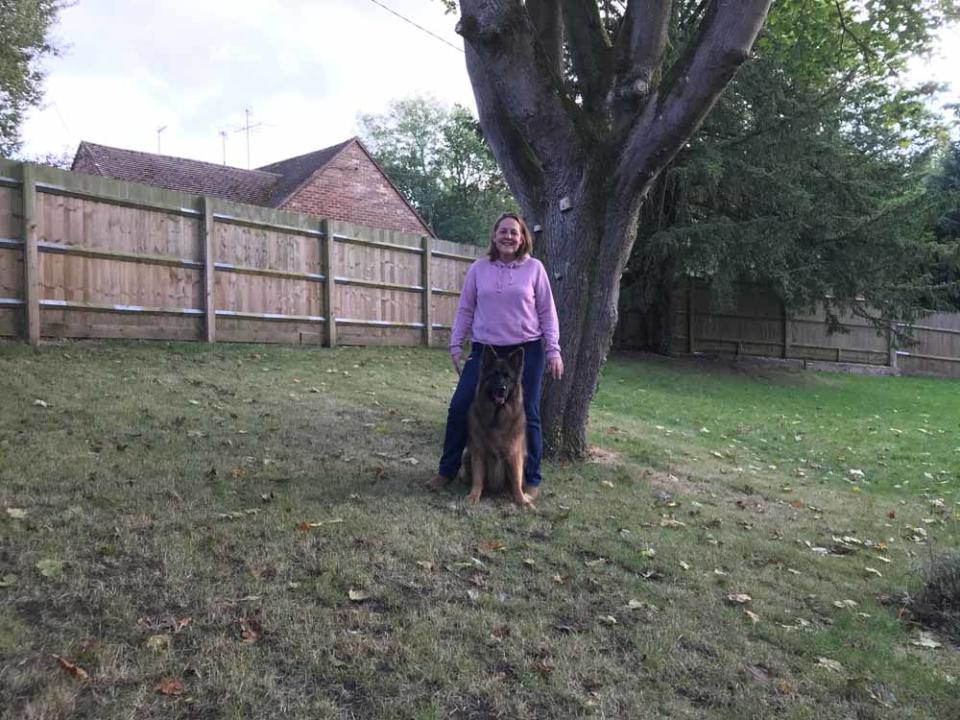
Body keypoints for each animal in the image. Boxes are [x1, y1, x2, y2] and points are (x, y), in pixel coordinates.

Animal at [464, 348, 532, 506]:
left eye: (508, 377)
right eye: (494, 375)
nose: (502, 389)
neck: (497, 418)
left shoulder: (515, 453)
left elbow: (516, 479)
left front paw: (522, 500)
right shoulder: (478, 451)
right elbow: (478, 477)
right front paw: (474, 495)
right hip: (466, 454)